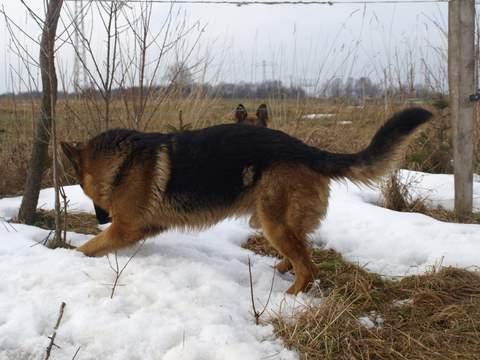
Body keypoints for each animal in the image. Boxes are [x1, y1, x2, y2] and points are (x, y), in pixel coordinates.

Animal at [62, 108, 434, 294]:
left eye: (83, 188)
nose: (101, 218)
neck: (120, 163)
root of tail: (306, 150)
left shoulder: (124, 229)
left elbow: (88, 247)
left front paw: (67, 256)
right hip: (273, 221)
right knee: (299, 255)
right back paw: (281, 270)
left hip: (273, 221)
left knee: (308, 268)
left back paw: (288, 298)